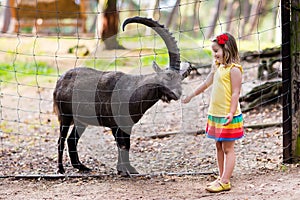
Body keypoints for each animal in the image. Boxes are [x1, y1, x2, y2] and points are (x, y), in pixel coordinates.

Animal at [52, 16, 191, 176]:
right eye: (168, 75)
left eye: (181, 78)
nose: (178, 93)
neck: (133, 91)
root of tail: (60, 81)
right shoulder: (116, 125)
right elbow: (123, 145)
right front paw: (125, 170)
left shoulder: (127, 125)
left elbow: (126, 145)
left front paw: (126, 169)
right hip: (65, 116)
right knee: (61, 140)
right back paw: (60, 169)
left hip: (80, 121)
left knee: (71, 140)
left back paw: (81, 166)